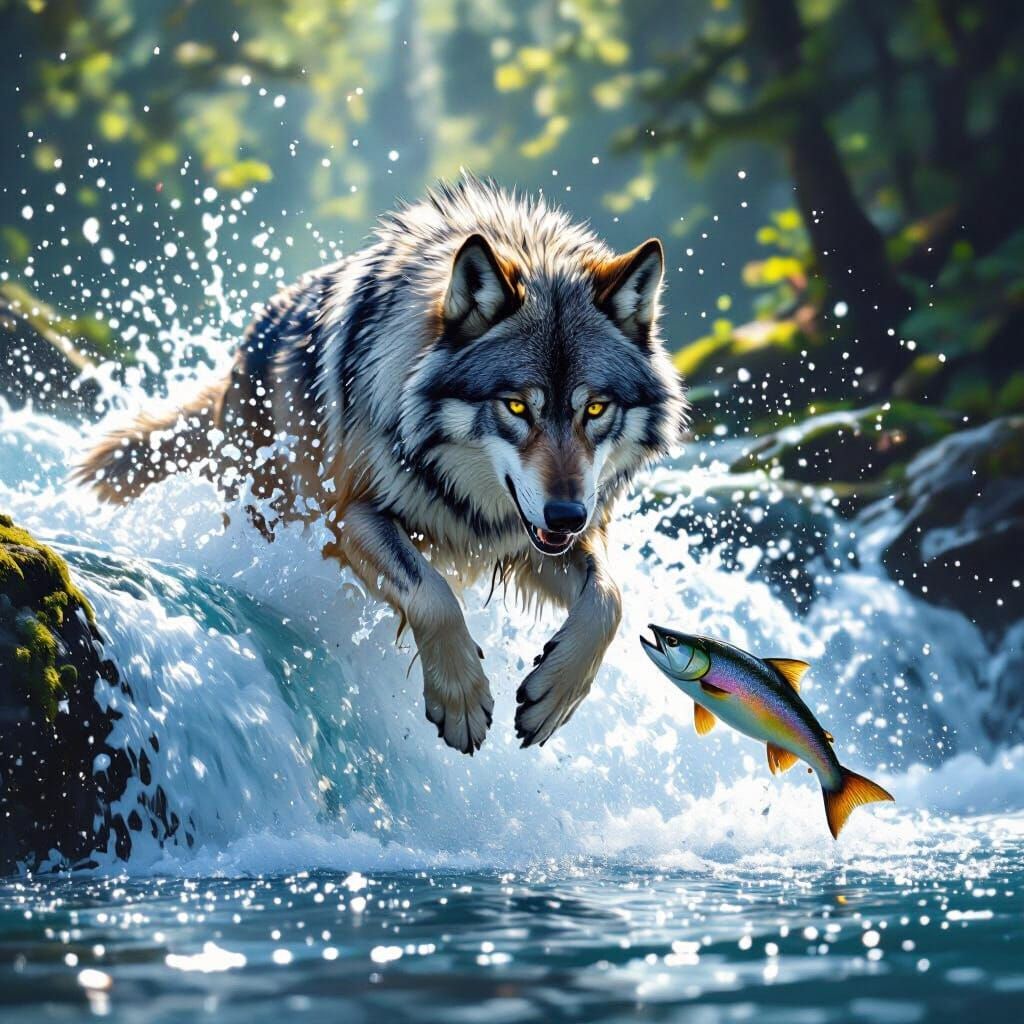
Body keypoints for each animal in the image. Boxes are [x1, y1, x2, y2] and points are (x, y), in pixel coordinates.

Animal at [77, 176, 686, 753]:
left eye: (595, 408)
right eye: (516, 406)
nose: (566, 515)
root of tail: (245, 347)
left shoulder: (527, 538)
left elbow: (609, 601)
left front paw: (556, 695)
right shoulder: (350, 516)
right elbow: (432, 595)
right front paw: (461, 699)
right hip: (274, 514)